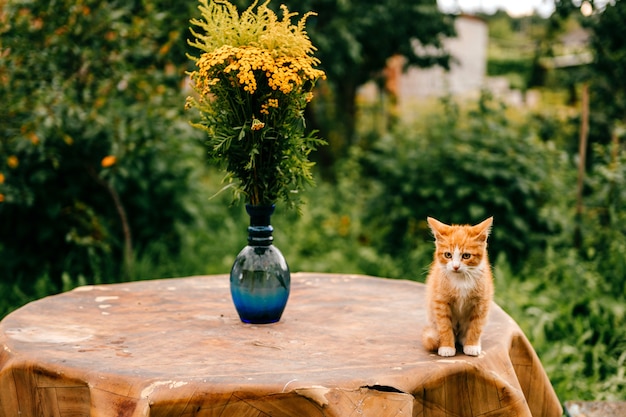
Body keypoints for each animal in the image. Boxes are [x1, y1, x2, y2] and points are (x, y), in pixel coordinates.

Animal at [420, 216, 492, 356]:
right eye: (448, 255)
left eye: (466, 256)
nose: (455, 266)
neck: (461, 280)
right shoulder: (440, 301)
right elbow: (444, 325)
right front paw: (446, 347)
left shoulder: (481, 302)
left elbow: (476, 325)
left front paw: (472, 345)